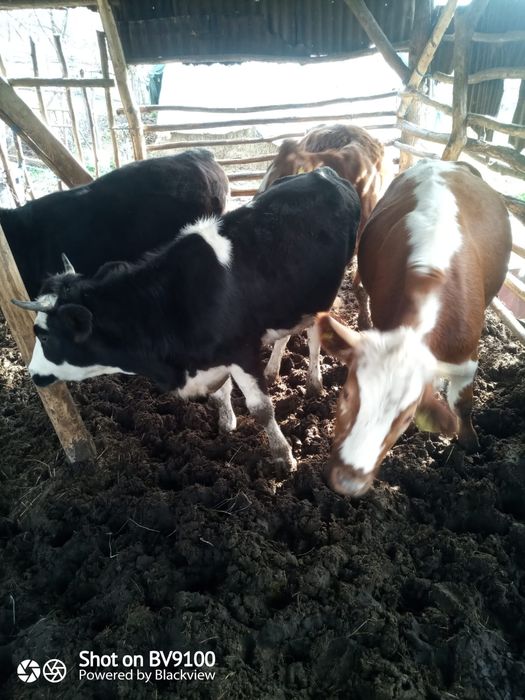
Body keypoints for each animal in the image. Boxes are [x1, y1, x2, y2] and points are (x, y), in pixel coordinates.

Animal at [13, 168, 361, 469]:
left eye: (44, 334)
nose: (32, 373)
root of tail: (322, 172)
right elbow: (221, 394)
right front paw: (226, 423)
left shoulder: (241, 351)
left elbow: (261, 409)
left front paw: (284, 457)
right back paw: (275, 369)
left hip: (326, 287)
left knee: (314, 332)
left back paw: (314, 382)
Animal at [317, 159, 512, 497]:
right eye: (346, 394)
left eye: (407, 417)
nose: (347, 481)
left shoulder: (468, 358)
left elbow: (463, 404)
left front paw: (469, 443)